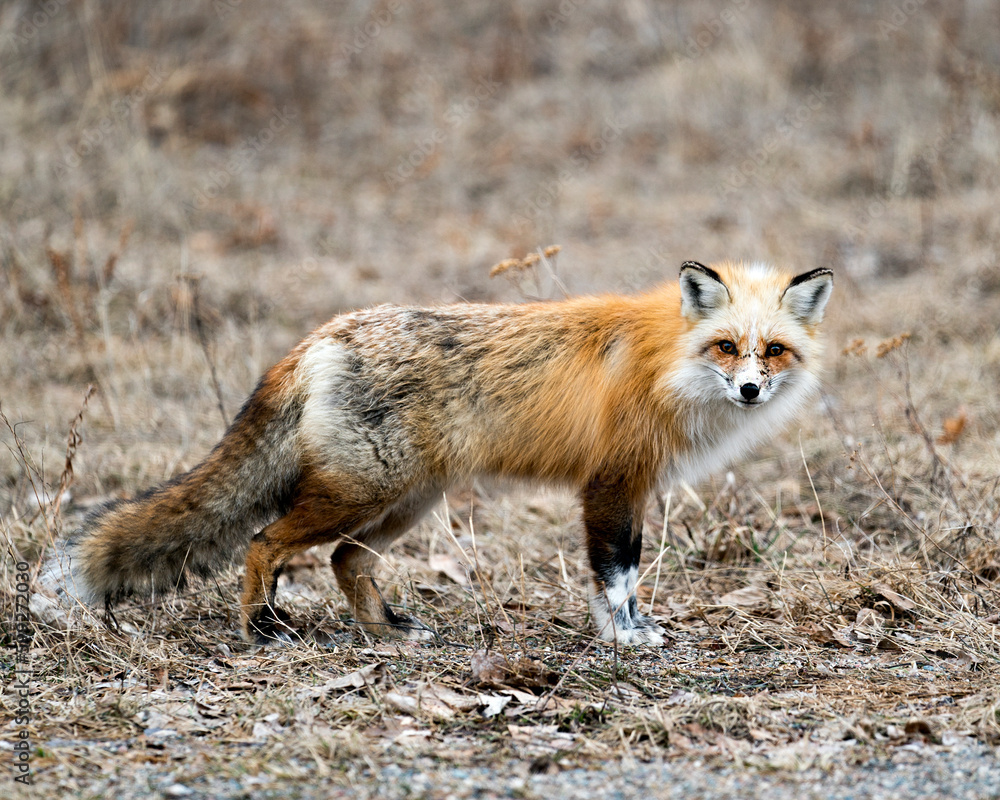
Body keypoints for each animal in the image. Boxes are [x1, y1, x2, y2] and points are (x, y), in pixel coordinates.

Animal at [47, 260, 832, 648]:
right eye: (726, 346)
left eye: (773, 350)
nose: (752, 390)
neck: (666, 363)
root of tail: (320, 336)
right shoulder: (610, 486)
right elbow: (617, 576)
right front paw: (626, 640)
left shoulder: (631, 488)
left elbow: (625, 576)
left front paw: (630, 633)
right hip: (361, 494)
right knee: (265, 543)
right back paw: (262, 630)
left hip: (405, 503)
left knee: (346, 561)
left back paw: (388, 631)